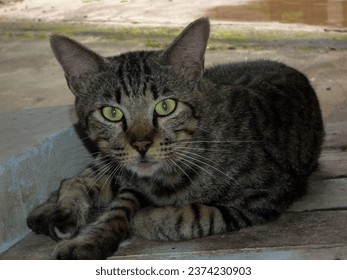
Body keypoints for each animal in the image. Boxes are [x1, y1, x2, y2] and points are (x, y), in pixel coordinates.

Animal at [26, 18, 324, 260]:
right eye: (111, 112)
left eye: (165, 106)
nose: (141, 144)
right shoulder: (131, 182)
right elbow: (117, 206)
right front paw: (91, 238)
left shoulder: (268, 194)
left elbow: (200, 214)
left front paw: (145, 219)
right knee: (78, 178)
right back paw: (53, 210)